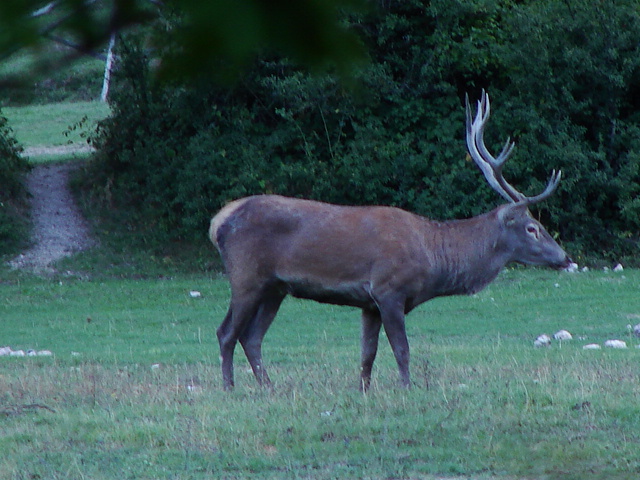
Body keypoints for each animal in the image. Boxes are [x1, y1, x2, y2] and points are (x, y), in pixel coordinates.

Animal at [211, 90, 576, 390]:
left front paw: (363, 390)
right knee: (227, 332)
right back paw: (230, 388)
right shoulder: (389, 289)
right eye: (532, 228)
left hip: (275, 287)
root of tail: (217, 223)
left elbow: (367, 353)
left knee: (252, 337)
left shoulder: (368, 303)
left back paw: (268, 387)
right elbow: (401, 349)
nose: (566, 258)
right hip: (246, 275)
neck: (433, 258)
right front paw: (406, 388)